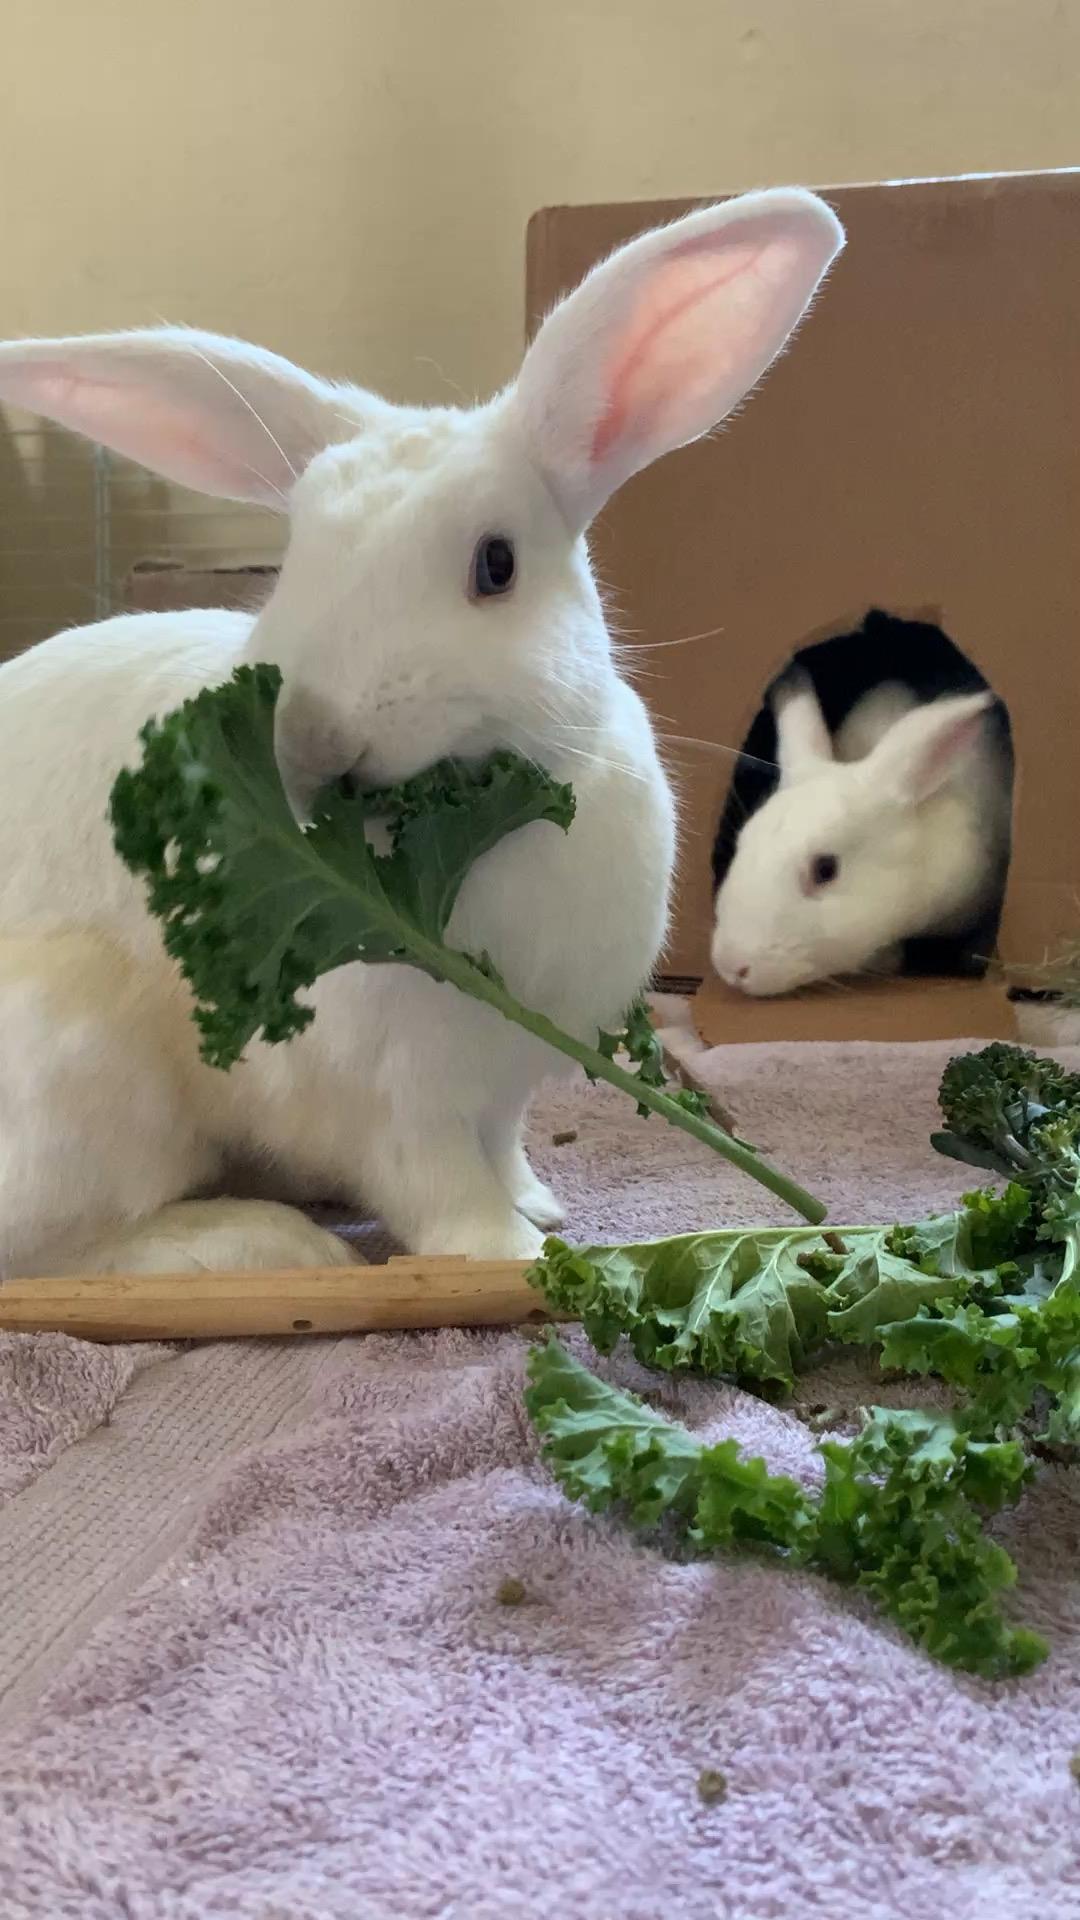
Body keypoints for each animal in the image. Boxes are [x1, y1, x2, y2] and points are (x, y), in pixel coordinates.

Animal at [0, 186, 843, 1277]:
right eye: (295, 560)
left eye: (496, 563)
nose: (312, 740)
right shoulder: (400, 1095)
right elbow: (435, 1181)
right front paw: (508, 1255)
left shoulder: (509, 1077)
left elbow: (503, 1146)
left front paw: (539, 1206)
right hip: (78, 1064)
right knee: (60, 1254)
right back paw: (265, 1245)